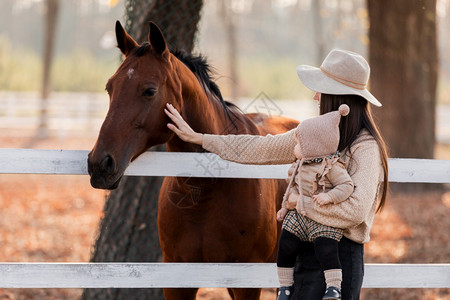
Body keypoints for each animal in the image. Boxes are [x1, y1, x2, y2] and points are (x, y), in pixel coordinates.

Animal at [87, 19, 298, 298]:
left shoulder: (247, 282)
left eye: (149, 90)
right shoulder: (178, 279)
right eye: (110, 87)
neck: (205, 189)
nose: (99, 164)